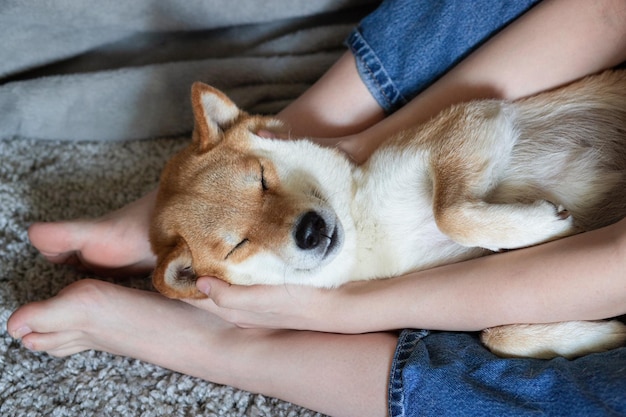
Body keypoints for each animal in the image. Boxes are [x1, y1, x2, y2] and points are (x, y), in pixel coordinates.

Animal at [150, 70, 624, 358]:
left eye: (263, 178)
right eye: (238, 246)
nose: (309, 230)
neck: (365, 224)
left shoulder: (474, 119)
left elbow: (448, 213)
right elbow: (496, 331)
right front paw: (611, 331)